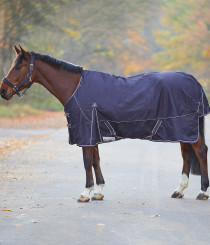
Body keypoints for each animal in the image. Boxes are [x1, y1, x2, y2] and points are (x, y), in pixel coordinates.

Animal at [0, 45, 209, 201]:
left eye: (18, 67)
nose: (3, 91)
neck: (76, 87)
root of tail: (194, 82)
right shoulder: (93, 133)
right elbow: (96, 160)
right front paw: (98, 192)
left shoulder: (86, 132)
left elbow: (87, 161)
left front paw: (85, 193)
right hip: (184, 130)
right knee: (186, 155)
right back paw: (179, 190)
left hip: (186, 128)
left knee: (200, 152)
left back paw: (202, 192)